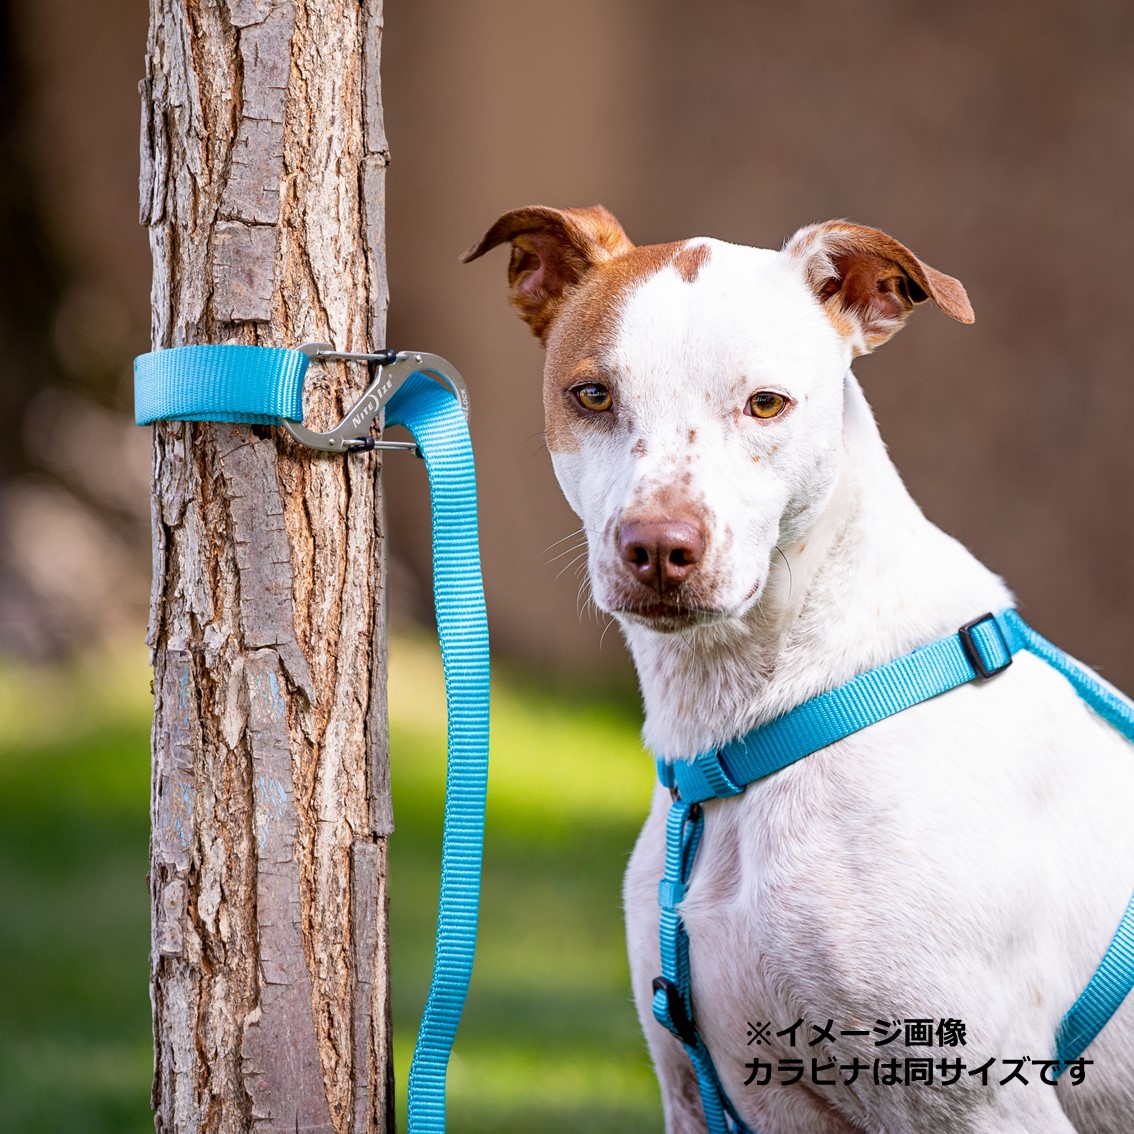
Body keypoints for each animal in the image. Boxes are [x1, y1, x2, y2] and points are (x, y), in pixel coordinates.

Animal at [460, 206, 1134, 1134]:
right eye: (592, 395)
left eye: (766, 404)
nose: (659, 548)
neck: (741, 737)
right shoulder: (699, 1095)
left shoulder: (985, 1102)